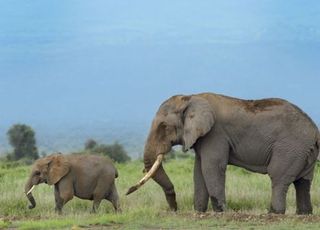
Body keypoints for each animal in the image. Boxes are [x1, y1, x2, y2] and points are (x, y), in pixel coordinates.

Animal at [127, 92, 320, 215]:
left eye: (164, 127)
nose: (175, 209)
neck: (190, 97)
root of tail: (315, 131)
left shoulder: (215, 134)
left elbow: (212, 167)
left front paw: (220, 212)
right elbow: (198, 170)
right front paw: (199, 211)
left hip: (290, 147)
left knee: (278, 176)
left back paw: (274, 213)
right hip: (304, 151)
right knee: (303, 182)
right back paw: (304, 214)